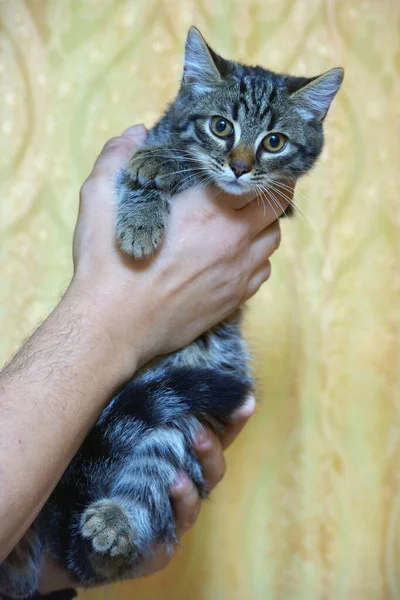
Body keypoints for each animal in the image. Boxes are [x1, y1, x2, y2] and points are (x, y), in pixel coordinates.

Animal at [0, 27, 344, 596]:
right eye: (221, 127)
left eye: (274, 142)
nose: (240, 166)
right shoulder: (136, 142)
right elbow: (150, 164)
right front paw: (151, 180)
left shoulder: (280, 201)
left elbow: (203, 176)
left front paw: (167, 170)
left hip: (181, 413)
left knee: (151, 470)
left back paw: (113, 524)